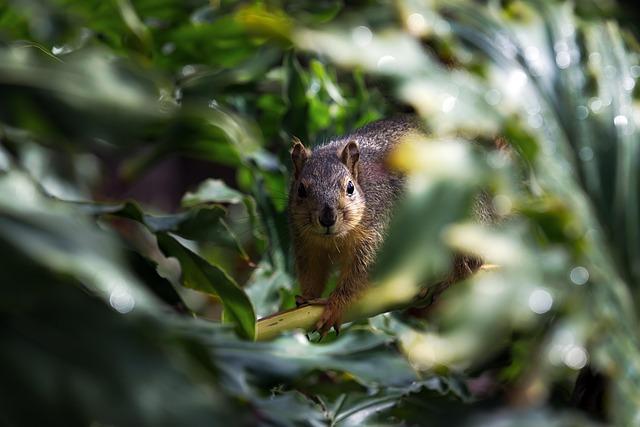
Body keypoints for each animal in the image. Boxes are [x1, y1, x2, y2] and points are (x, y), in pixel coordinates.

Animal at [288, 117, 482, 338]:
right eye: (301, 190)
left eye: (350, 187)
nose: (327, 219)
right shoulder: (305, 242)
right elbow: (311, 271)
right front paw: (307, 298)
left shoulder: (376, 231)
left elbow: (359, 273)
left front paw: (334, 305)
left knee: (471, 263)